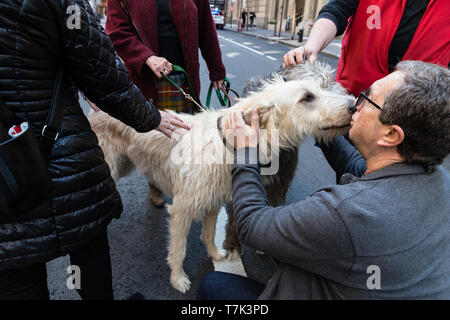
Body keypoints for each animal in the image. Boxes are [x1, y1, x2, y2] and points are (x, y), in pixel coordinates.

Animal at [89, 74, 356, 294]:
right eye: (307, 97)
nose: (353, 105)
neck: (227, 142)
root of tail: (96, 111)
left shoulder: (213, 202)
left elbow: (208, 233)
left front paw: (215, 254)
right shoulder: (182, 210)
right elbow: (178, 250)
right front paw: (178, 279)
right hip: (112, 167)